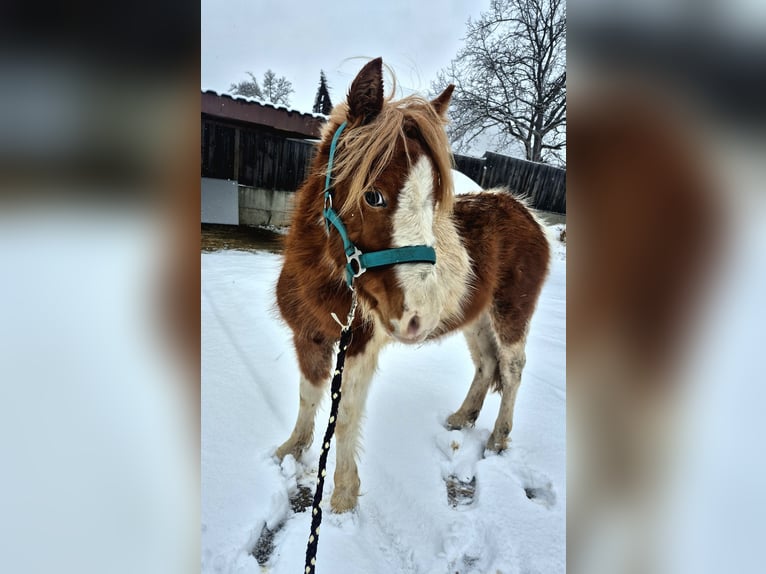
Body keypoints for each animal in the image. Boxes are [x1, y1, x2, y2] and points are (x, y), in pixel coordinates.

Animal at [276, 58, 552, 516]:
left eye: (434, 198)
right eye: (372, 195)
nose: (418, 316)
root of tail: (529, 215)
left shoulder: (357, 347)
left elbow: (344, 416)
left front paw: (342, 498)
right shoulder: (308, 337)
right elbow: (307, 399)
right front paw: (288, 452)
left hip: (510, 315)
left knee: (512, 369)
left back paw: (498, 439)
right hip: (476, 319)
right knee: (486, 365)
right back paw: (461, 418)